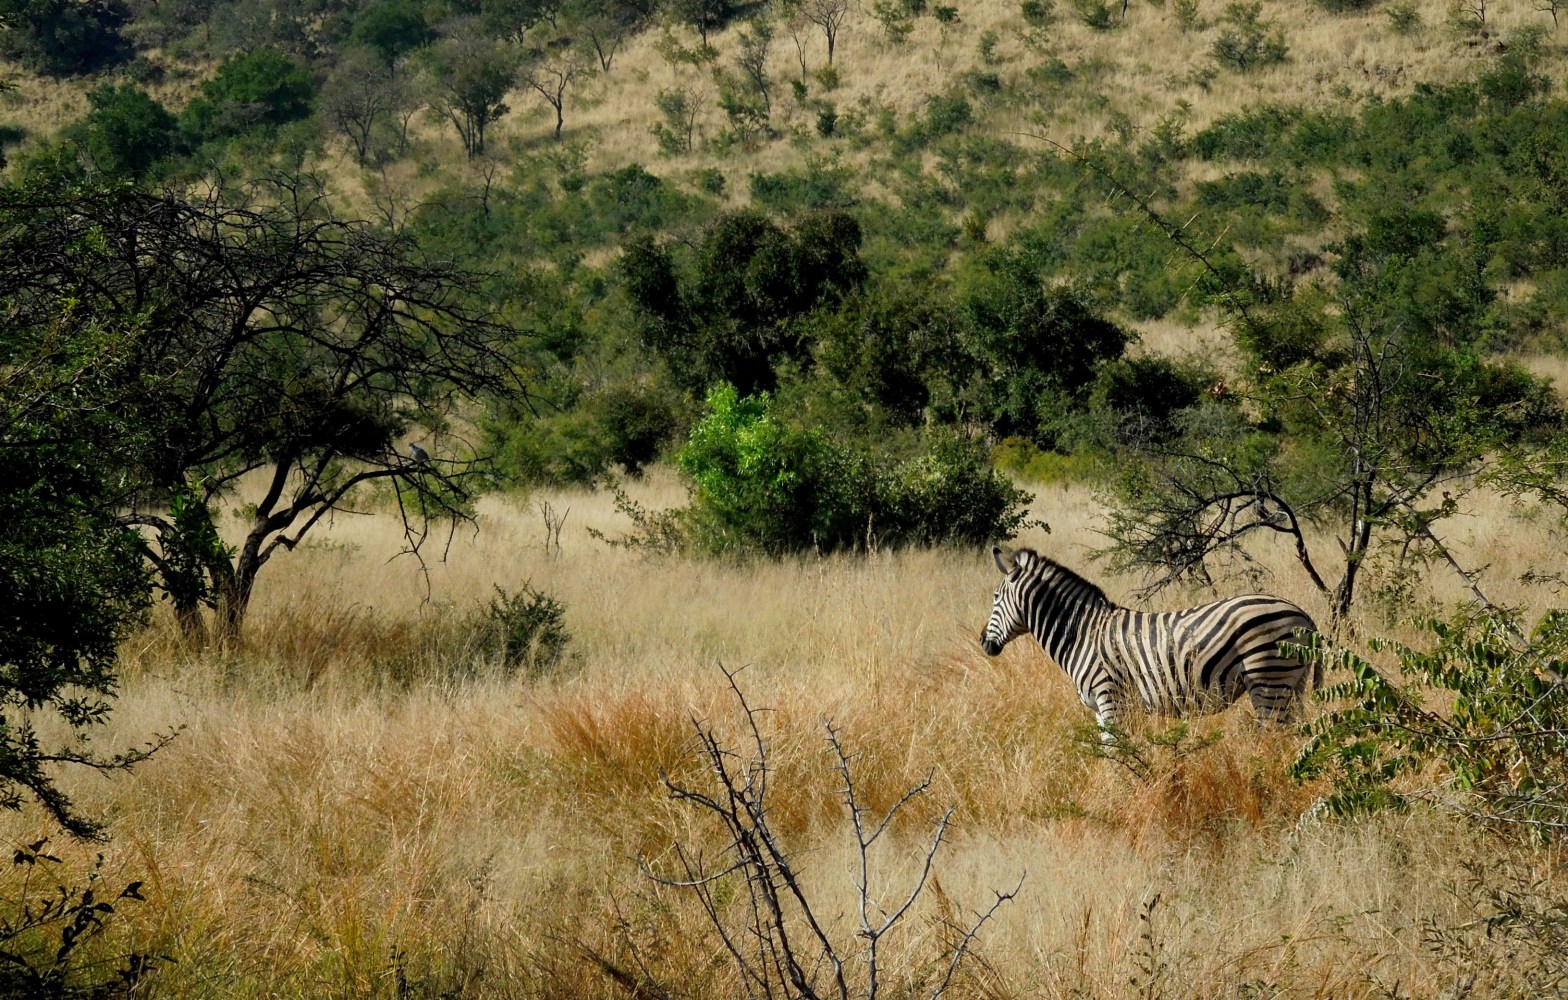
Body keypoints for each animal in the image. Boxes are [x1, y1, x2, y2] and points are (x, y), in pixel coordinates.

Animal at [980, 546, 1319, 737]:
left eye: (995, 597)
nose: (983, 642)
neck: (1083, 634)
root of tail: (1302, 613)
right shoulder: (1103, 709)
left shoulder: (1111, 700)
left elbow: (1116, 755)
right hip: (1292, 686)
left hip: (1268, 679)